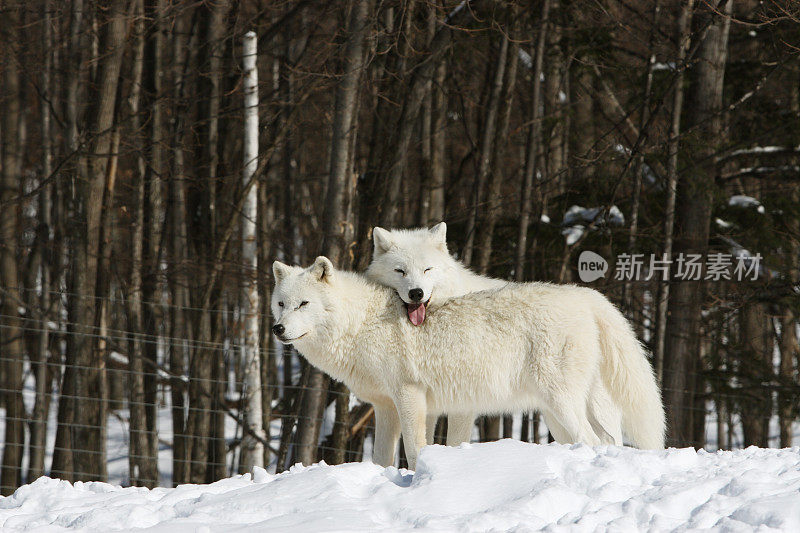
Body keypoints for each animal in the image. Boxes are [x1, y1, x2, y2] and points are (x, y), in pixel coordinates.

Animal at [272, 256, 664, 468]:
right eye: (281, 304)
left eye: (304, 304)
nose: (278, 329)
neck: (359, 324)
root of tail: (586, 296)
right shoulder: (385, 407)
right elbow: (382, 458)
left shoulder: (410, 397)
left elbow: (415, 450)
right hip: (557, 413)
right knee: (604, 441)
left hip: (562, 404)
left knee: (596, 442)